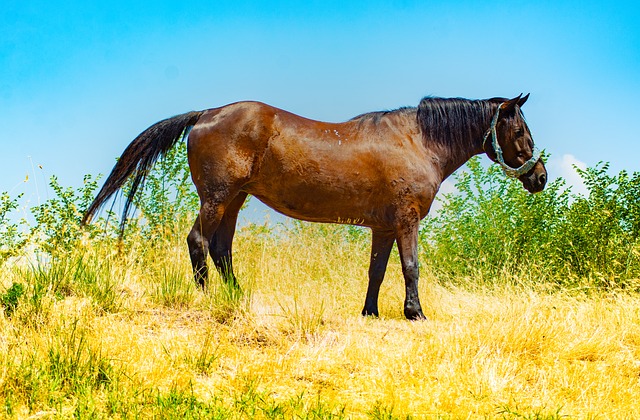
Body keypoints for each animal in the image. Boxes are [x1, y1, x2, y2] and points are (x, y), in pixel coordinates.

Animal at [82, 94, 547, 320]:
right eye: (519, 131)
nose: (540, 176)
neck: (417, 141)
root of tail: (206, 113)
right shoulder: (406, 220)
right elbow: (411, 267)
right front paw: (415, 313)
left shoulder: (383, 226)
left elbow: (377, 271)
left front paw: (370, 312)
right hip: (217, 197)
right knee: (198, 242)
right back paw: (207, 299)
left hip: (235, 200)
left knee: (221, 249)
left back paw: (237, 296)